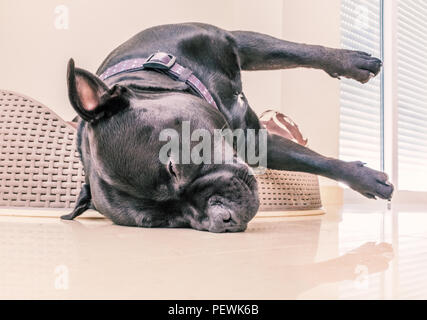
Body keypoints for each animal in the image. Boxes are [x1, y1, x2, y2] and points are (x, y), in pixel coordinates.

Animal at [61, 23, 394, 232]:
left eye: (173, 168)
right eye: (163, 221)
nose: (222, 219)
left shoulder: (234, 41)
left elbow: (296, 52)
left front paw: (353, 63)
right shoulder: (255, 142)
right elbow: (310, 160)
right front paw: (368, 180)